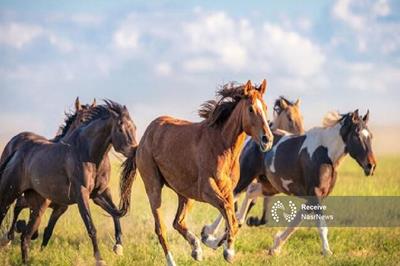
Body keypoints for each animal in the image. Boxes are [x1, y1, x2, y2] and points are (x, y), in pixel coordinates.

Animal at [0, 100, 138, 264]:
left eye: (134, 127)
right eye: (120, 128)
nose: (135, 150)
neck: (86, 153)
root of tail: (17, 151)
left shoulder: (98, 193)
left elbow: (115, 213)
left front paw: (118, 247)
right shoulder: (81, 194)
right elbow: (91, 226)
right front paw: (99, 259)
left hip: (37, 203)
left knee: (25, 235)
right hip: (9, 194)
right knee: (10, 213)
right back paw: (8, 240)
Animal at [120, 80, 276, 264]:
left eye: (265, 107)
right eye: (251, 109)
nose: (267, 139)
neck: (221, 146)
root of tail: (143, 140)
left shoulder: (228, 190)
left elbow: (233, 218)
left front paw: (212, 240)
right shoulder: (207, 191)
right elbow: (229, 213)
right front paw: (227, 250)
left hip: (185, 194)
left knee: (178, 222)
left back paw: (197, 250)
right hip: (154, 188)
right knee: (161, 229)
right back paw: (172, 261)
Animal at [217, 109, 376, 256]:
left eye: (371, 136)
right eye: (357, 135)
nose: (371, 166)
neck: (325, 155)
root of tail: (251, 140)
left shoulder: (315, 197)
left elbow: (295, 222)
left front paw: (275, 247)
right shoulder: (315, 194)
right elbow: (321, 225)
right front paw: (327, 252)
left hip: (270, 185)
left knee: (250, 192)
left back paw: (232, 227)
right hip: (246, 176)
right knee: (230, 197)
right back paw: (213, 238)